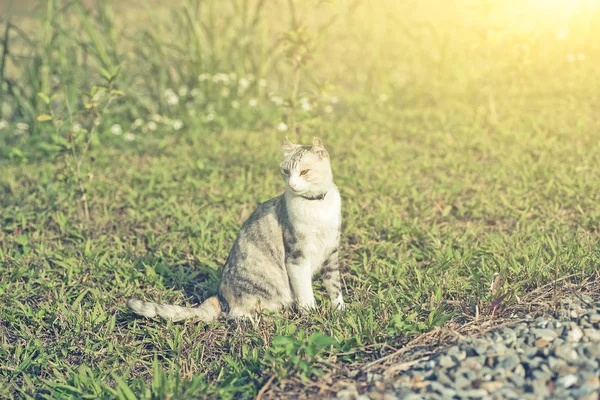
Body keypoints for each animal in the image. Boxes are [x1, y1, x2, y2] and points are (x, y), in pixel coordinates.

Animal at [126, 138, 344, 322]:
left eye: (304, 172)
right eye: (285, 171)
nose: (292, 184)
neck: (316, 206)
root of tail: (220, 297)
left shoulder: (331, 253)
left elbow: (334, 286)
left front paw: (340, 310)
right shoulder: (297, 257)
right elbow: (305, 293)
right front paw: (311, 313)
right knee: (241, 314)